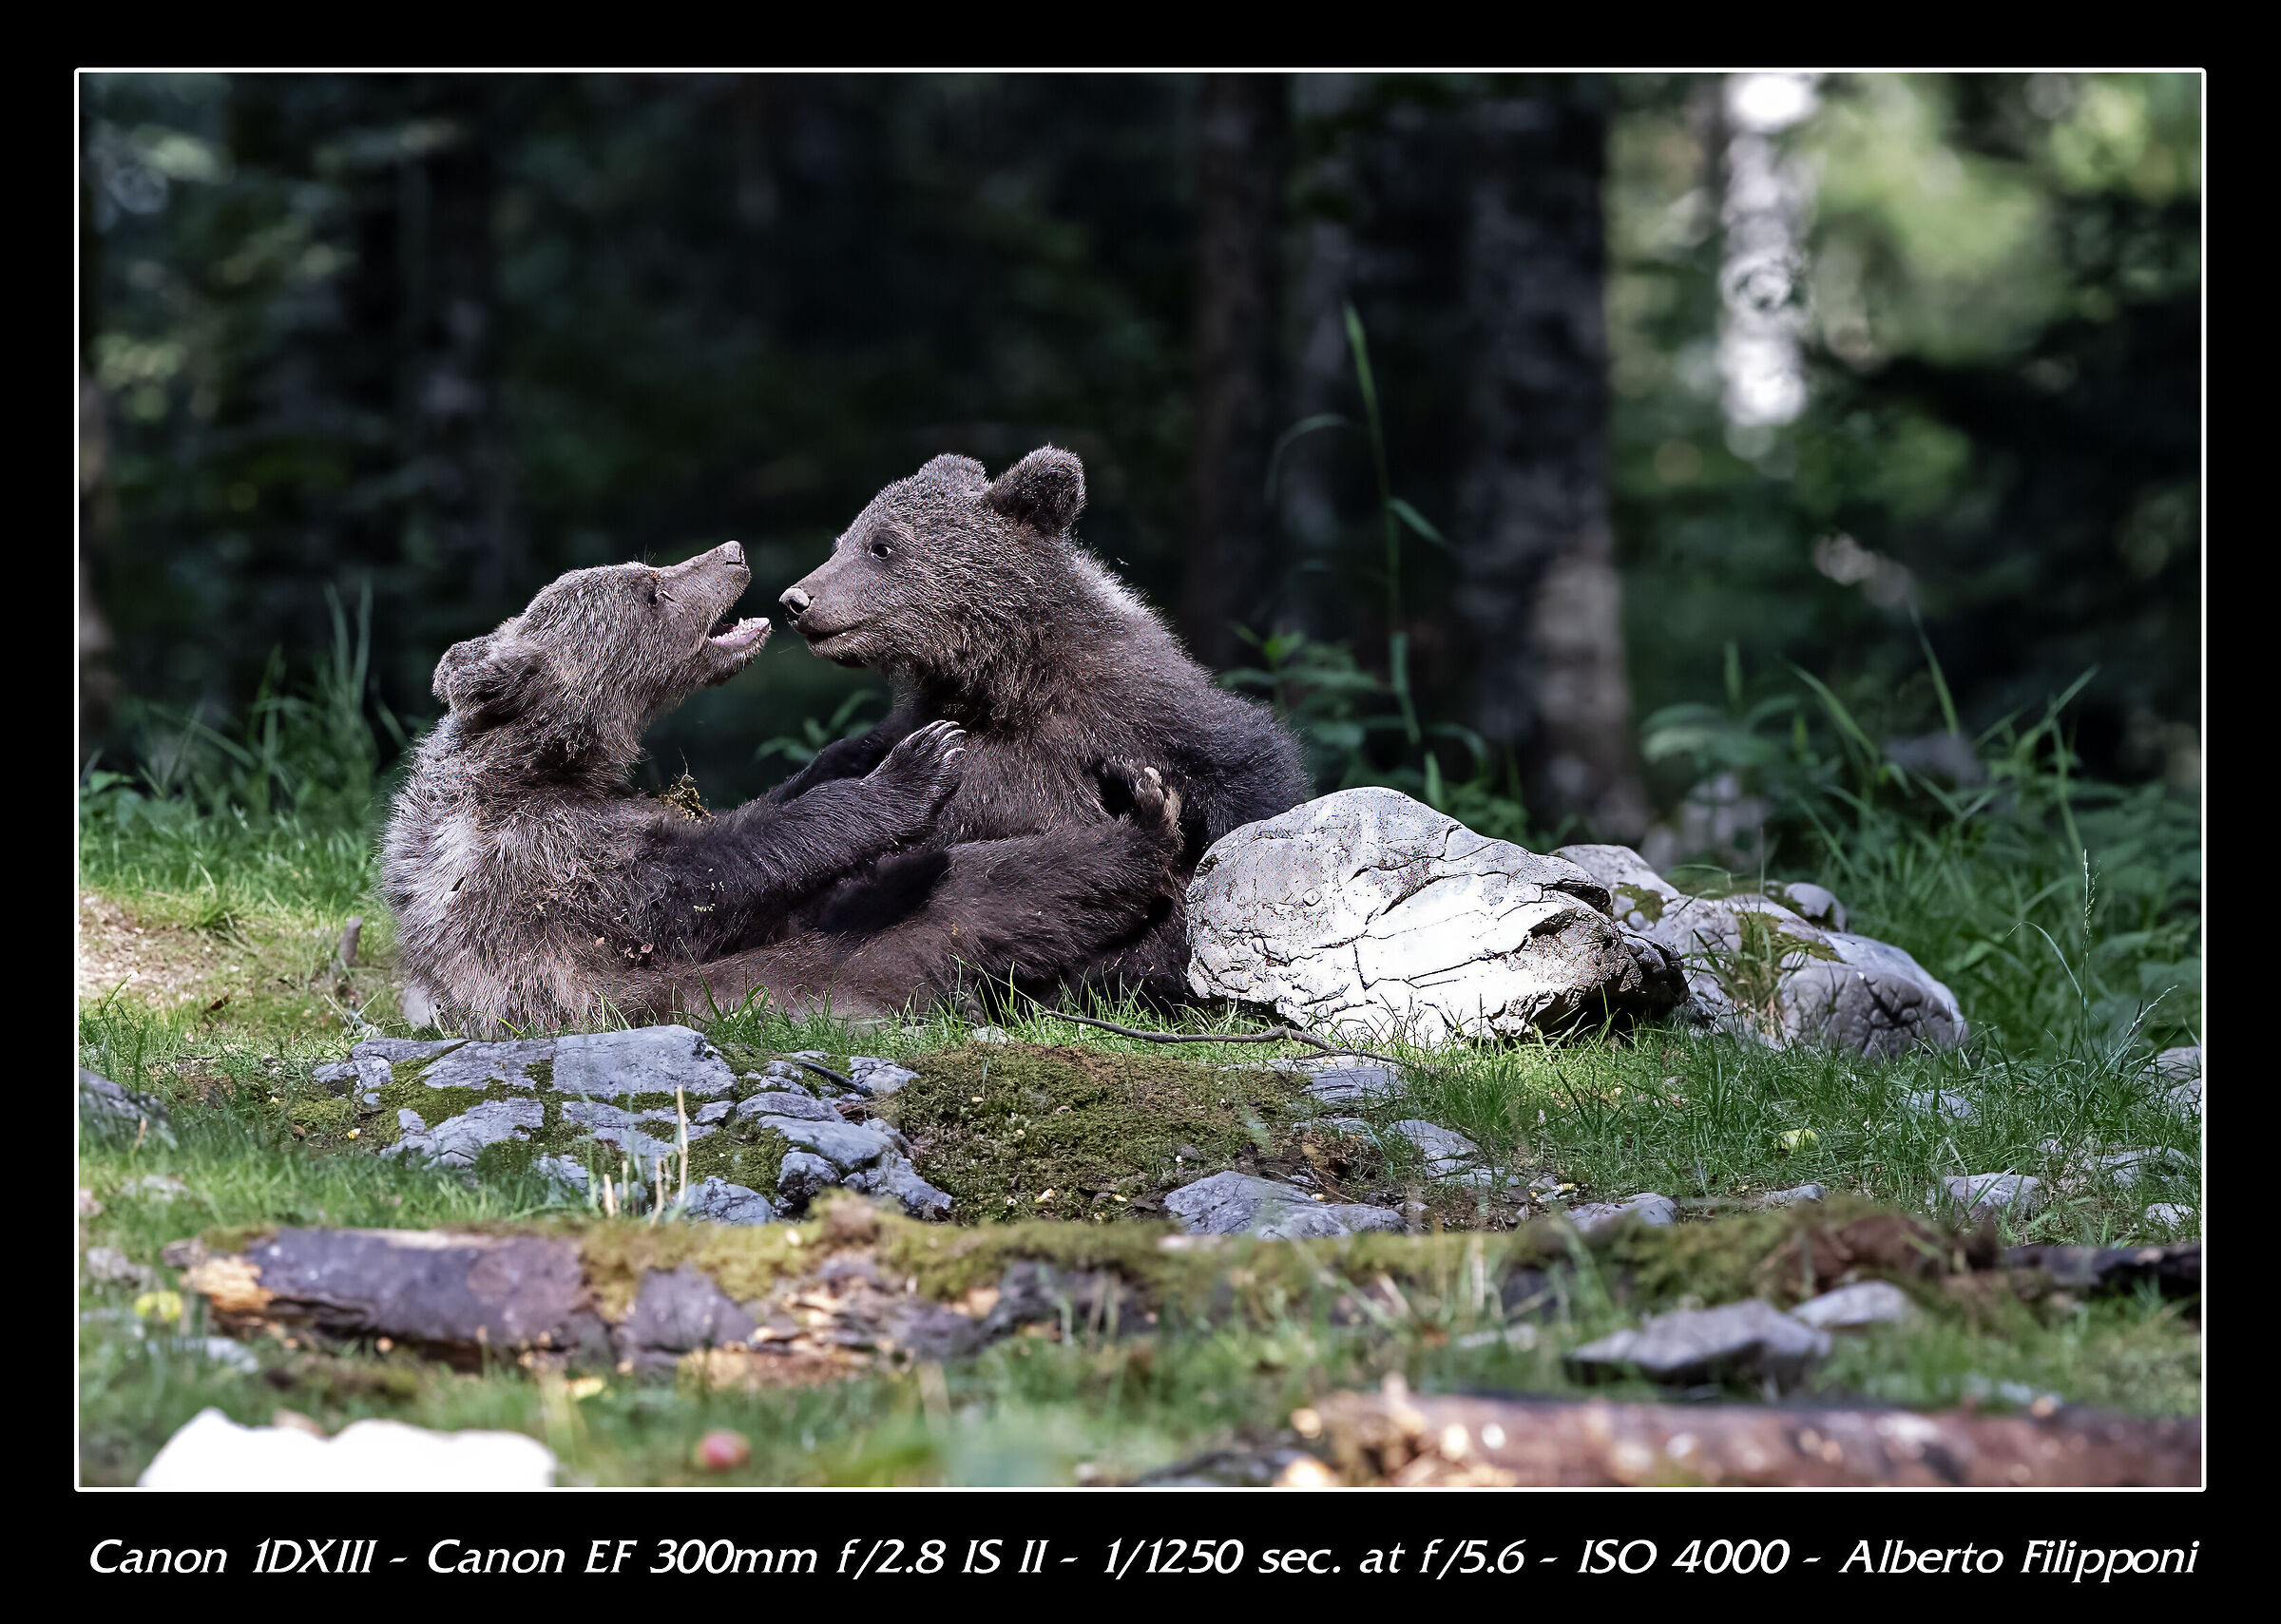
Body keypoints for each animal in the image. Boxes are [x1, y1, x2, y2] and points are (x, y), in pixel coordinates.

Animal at [382, 540, 1186, 1035]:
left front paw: (867, 746)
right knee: (969, 900)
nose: (731, 552)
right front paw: (917, 764)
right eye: (651, 588)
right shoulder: (548, 866)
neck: (542, 764)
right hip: (767, 981)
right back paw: (1142, 829)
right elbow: (702, 875)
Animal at [773, 446, 1311, 1005]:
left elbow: (1246, 774)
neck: (1005, 675)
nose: (796, 600)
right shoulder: (922, 733)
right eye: (843, 541)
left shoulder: (1138, 708)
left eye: (882, 546)